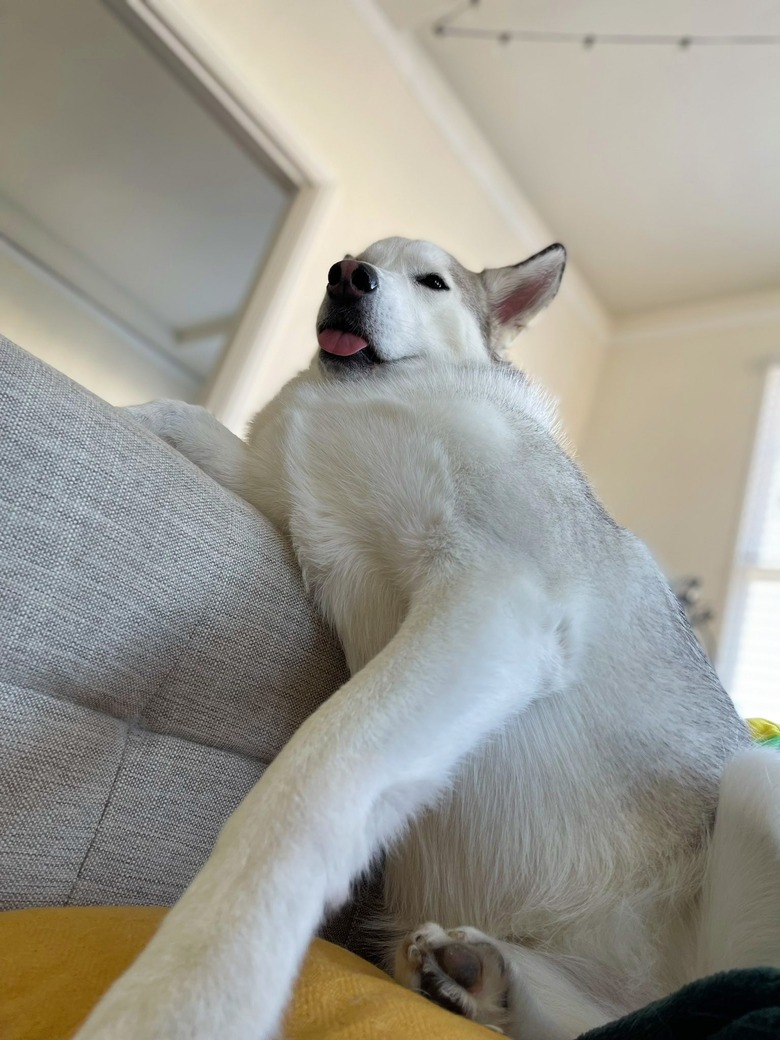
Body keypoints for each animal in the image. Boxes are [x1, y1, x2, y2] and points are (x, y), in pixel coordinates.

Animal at [76, 238, 777, 1040]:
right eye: (356, 259)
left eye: (432, 282)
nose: (346, 275)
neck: (367, 390)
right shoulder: (277, 489)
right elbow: (175, 412)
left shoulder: (494, 600)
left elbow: (307, 788)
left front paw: (191, 991)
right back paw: (473, 975)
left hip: (757, 780)